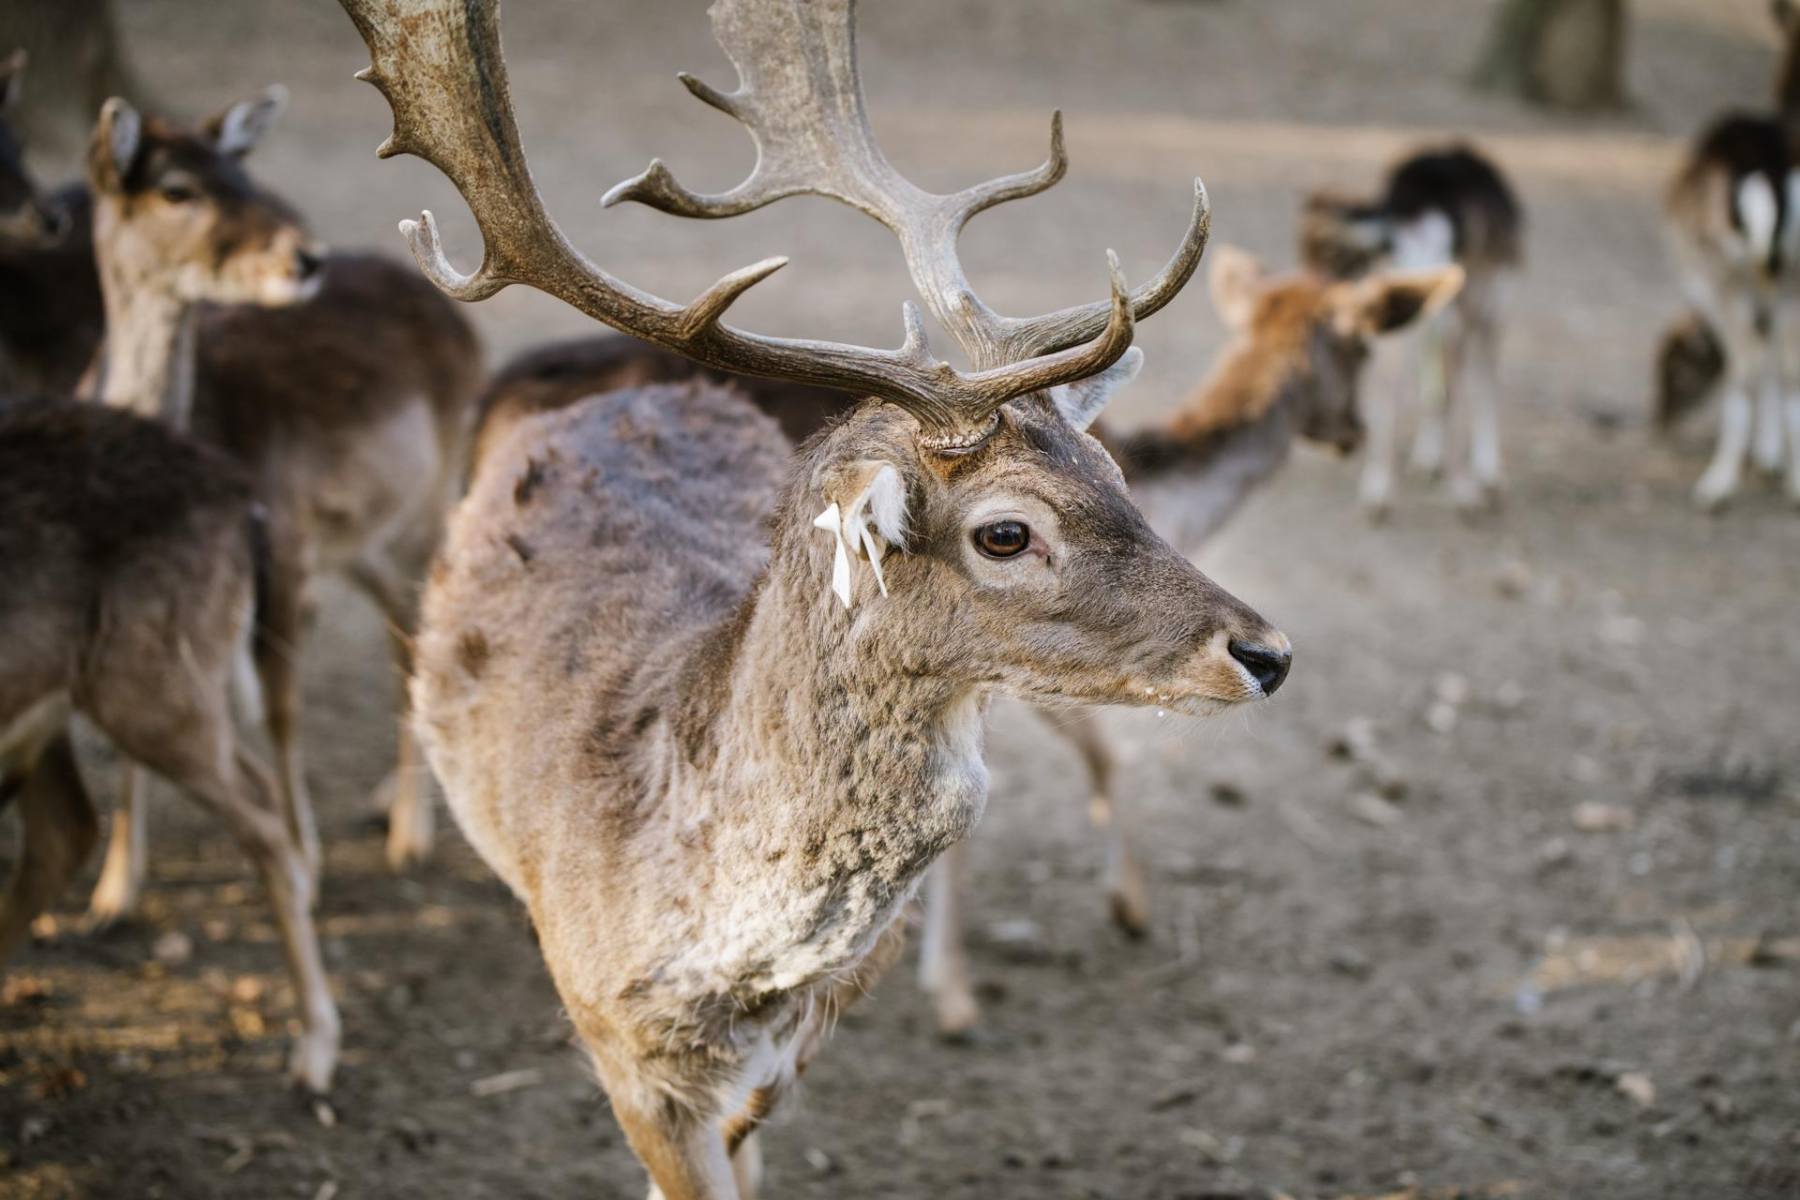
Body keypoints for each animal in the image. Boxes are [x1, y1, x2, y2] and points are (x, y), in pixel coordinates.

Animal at [73, 84, 481, 923]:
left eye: (244, 173)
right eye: (177, 189)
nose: (305, 257)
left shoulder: (284, 541)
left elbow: (280, 707)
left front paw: (308, 862)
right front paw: (113, 888)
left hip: (423, 513)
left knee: (417, 637)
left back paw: (408, 833)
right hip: (357, 543)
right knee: (397, 634)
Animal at [466, 243, 1463, 1037]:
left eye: (1114, 474)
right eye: (1362, 345)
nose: (1352, 432)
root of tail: (495, 387)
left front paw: (1117, 909)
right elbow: (1064, 768)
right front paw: (960, 988)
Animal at [1300, 144, 1522, 519]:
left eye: (1322, 253)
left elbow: (1432, 388)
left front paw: (1427, 460)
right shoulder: (1487, 309)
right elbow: (1475, 389)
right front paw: (1482, 477)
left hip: (1401, 316)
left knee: (1392, 393)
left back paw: (1377, 494)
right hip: (1469, 311)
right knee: (1456, 390)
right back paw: (1466, 491)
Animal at [1660, 0, 1800, 510]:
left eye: (1677, 372)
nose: (1662, 422)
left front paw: (1766, 457)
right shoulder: (1780, 279)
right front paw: (1772, 458)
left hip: (1713, 275)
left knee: (1746, 360)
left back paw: (1717, 484)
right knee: (1781, 361)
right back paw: (1789, 482)